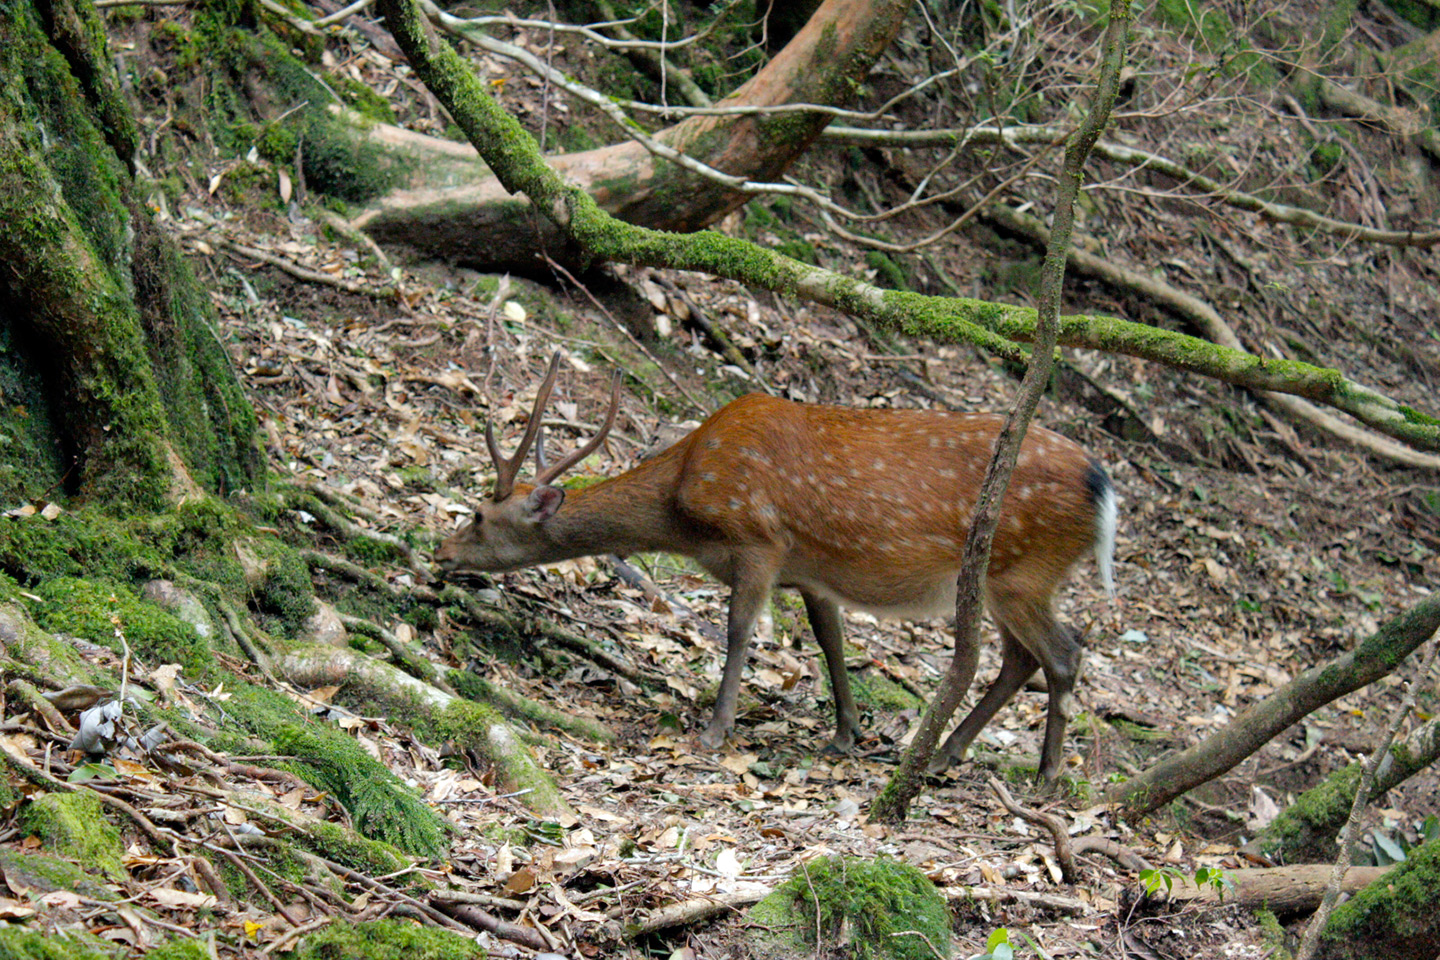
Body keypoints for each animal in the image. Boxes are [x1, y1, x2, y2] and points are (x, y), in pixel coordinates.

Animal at [432, 352, 1117, 782]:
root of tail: (1104, 489)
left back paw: (1045, 776)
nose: (441, 552)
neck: (687, 506)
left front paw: (715, 731)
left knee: (1063, 653)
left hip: (1020, 571)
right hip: (1010, 582)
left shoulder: (758, 540)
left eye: (479, 515)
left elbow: (739, 633)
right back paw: (948, 754)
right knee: (1023, 658)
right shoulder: (811, 572)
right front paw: (845, 734)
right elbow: (830, 643)